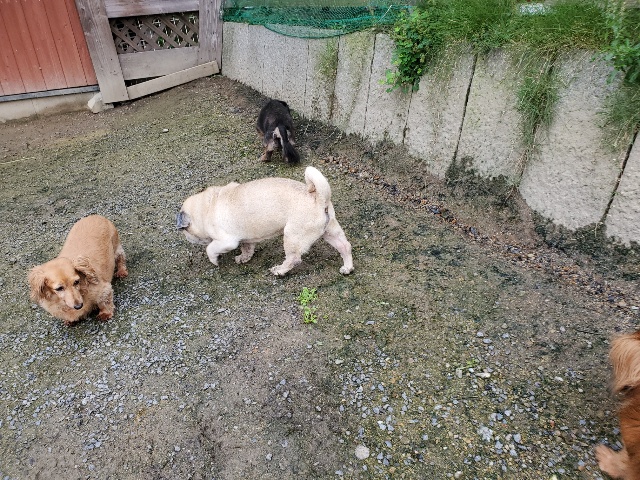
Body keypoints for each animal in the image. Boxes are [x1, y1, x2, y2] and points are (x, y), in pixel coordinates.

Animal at [176, 166, 353, 276]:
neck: (206, 207)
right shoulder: (245, 239)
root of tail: (319, 198)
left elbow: (211, 248)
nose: (185, 236)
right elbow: (247, 248)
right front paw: (243, 258)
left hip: (292, 236)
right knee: (344, 246)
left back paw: (280, 270)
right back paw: (347, 267)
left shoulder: (227, 241)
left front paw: (215, 260)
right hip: (329, 231)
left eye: (185, 231)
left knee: (294, 259)